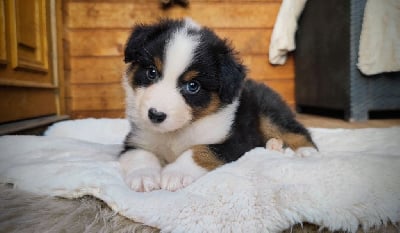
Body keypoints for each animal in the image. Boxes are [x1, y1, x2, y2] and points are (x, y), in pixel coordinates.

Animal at [119, 19, 316, 192]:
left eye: (193, 86)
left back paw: (307, 152)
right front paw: (143, 176)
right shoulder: (136, 137)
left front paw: (176, 173)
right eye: (151, 72)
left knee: (297, 130)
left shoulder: (234, 141)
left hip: (269, 112)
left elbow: (199, 150)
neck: (176, 131)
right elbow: (140, 153)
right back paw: (274, 145)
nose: (155, 115)